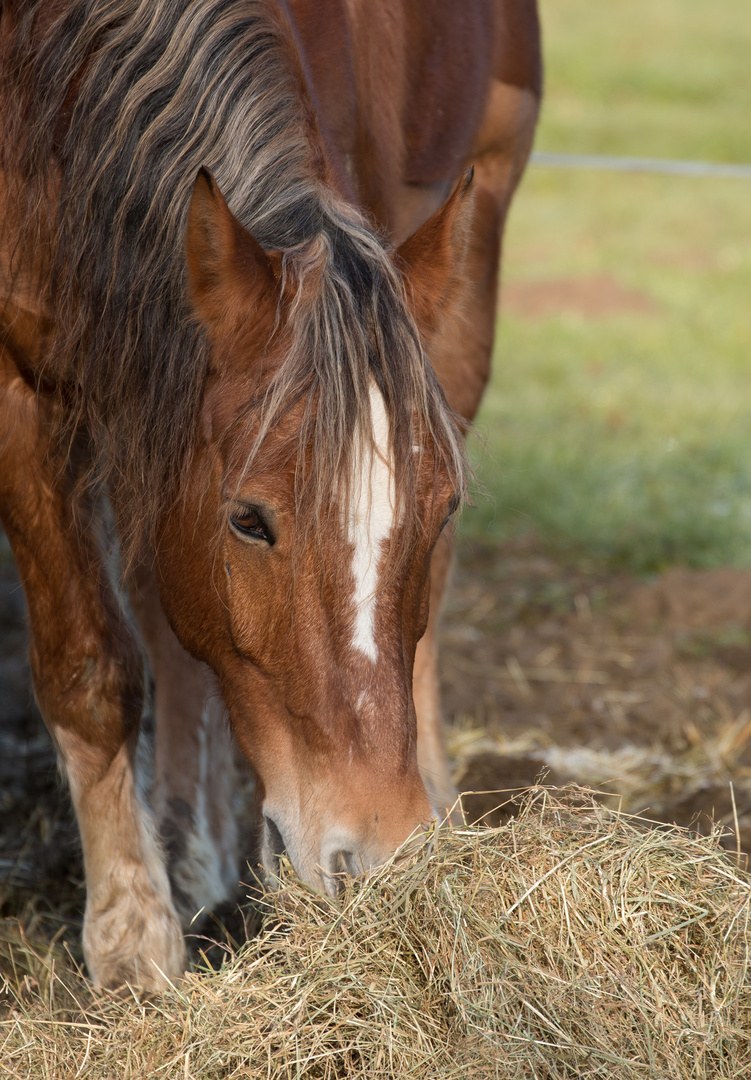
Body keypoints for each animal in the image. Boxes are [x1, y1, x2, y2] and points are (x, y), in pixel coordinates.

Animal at [0, 0, 540, 989]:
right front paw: (133, 938)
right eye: (248, 522)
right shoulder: (20, 387)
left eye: (442, 508)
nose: (376, 859)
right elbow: (91, 663)